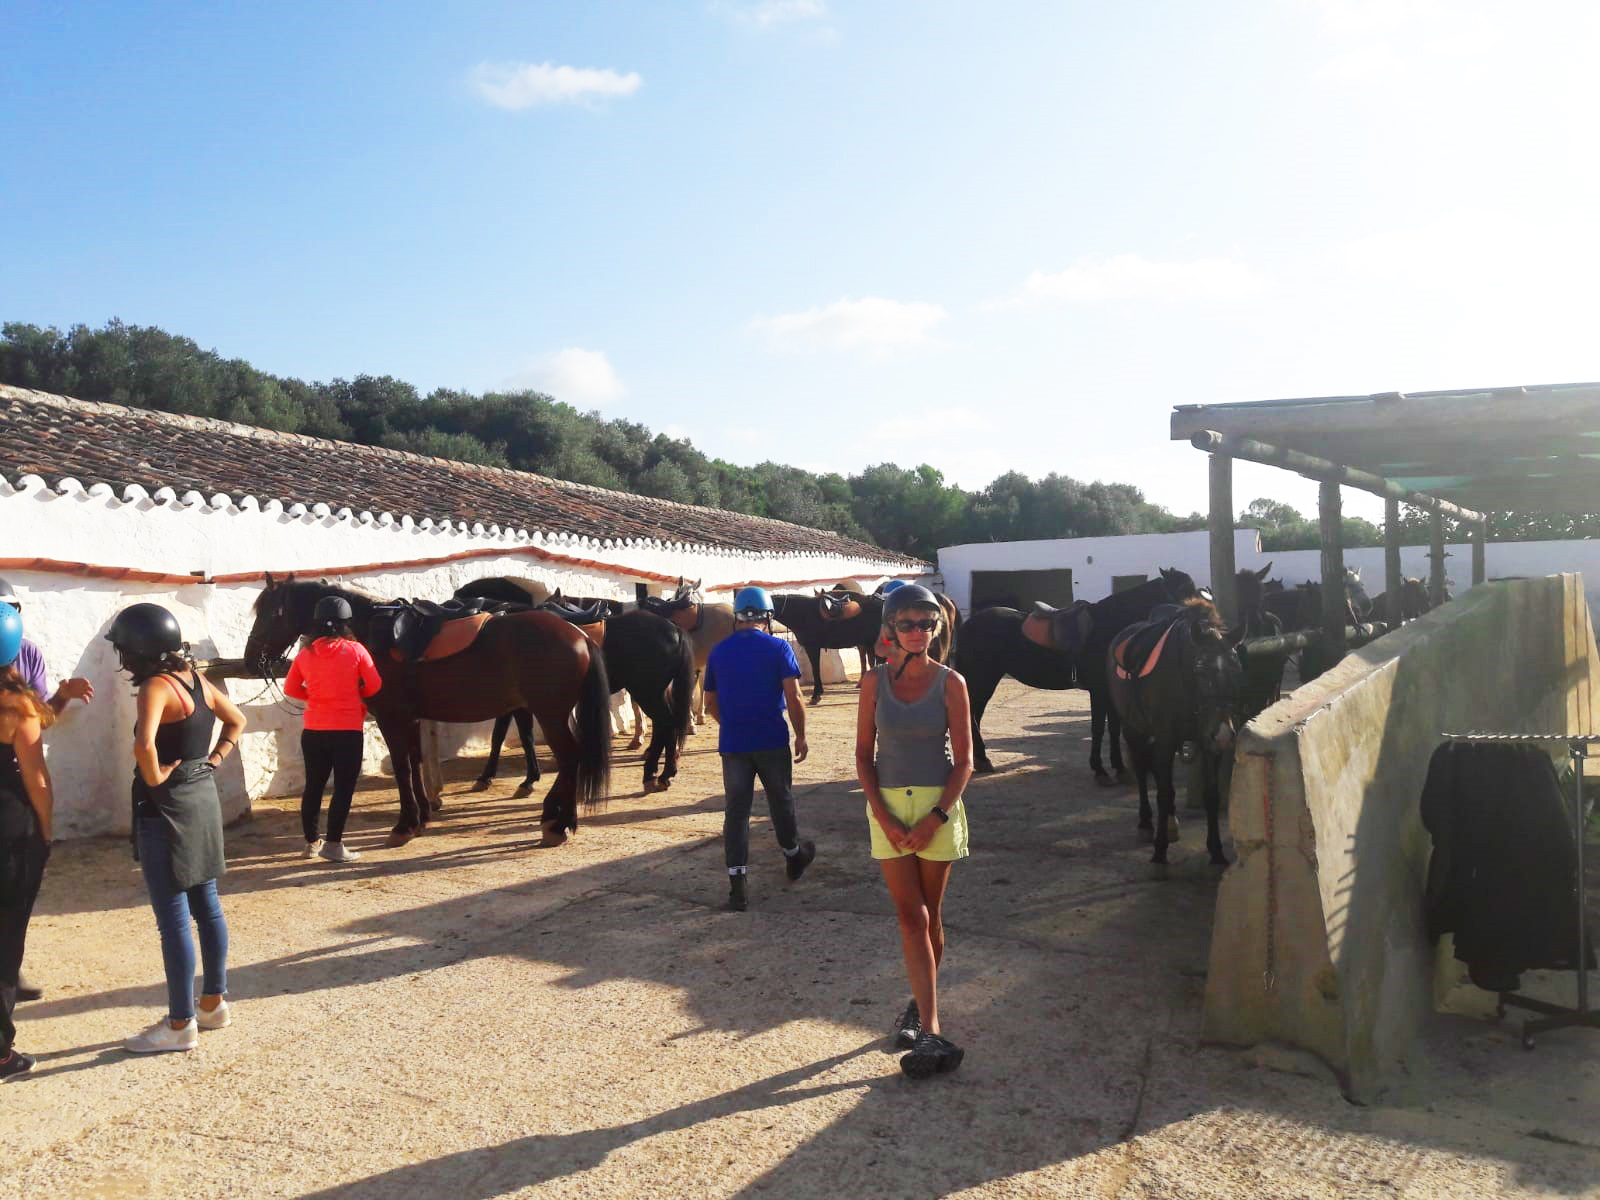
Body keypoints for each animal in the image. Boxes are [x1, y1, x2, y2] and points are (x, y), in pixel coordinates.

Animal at [240, 579, 608, 851]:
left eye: (273, 613)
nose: (250, 659)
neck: (372, 633)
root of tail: (579, 635)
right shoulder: (411, 717)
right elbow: (415, 763)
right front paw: (422, 817)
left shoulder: (391, 718)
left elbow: (402, 767)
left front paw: (404, 825)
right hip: (559, 714)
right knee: (572, 757)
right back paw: (559, 818)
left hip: (550, 714)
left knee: (570, 757)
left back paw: (558, 823)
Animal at [953, 569, 1196, 780]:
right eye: (1184, 590)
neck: (1107, 626)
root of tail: (968, 625)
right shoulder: (1098, 690)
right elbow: (1098, 728)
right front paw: (1100, 770)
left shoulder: (1109, 692)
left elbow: (1113, 728)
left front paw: (1120, 769)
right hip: (983, 678)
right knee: (973, 713)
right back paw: (982, 759)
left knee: (975, 713)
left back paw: (980, 760)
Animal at [1107, 598, 1241, 864]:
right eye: (1200, 669)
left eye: (1236, 669)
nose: (1223, 733)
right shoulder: (1166, 741)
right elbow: (1164, 792)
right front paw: (1159, 849)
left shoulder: (1208, 744)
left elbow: (1211, 795)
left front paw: (1216, 849)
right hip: (1132, 729)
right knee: (1142, 773)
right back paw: (1147, 824)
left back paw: (1170, 823)